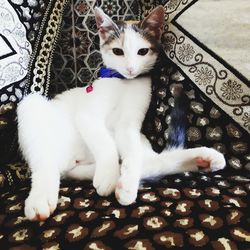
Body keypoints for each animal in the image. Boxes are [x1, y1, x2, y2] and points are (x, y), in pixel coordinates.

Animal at [16, 6, 226, 221]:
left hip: (131, 144)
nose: (131, 69)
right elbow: (105, 143)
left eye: (142, 51)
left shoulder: (129, 125)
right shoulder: (88, 116)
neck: (124, 82)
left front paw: (126, 185)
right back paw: (40, 199)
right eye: (118, 51)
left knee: (151, 162)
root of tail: (69, 163)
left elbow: (132, 152)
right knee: (44, 164)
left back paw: (203, 159)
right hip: (32, 107)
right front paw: (109, 175)